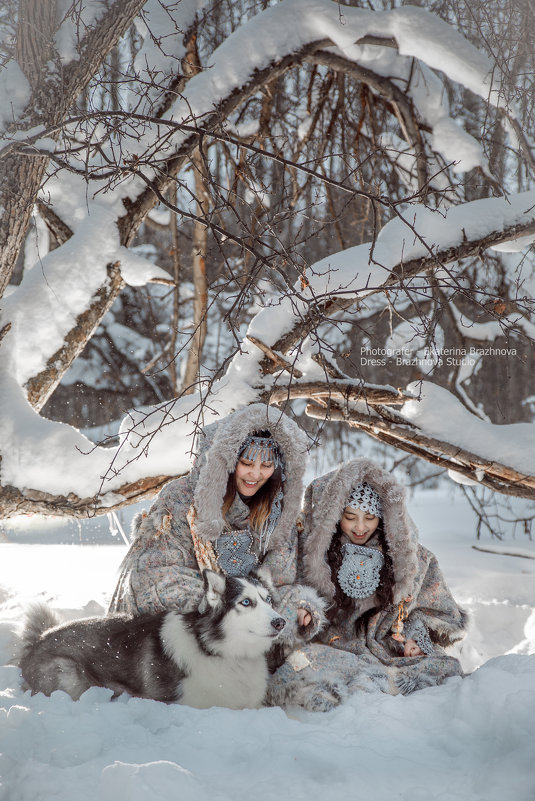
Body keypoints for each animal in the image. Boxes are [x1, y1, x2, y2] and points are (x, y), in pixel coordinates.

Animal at [17, 568, 284, 708]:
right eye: (246, 602)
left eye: (268, 600)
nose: (280, 622)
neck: (217, 650)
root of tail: (40, 638)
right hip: (69, 676)